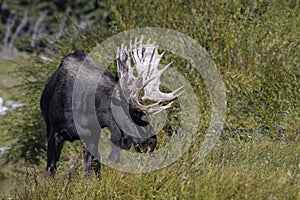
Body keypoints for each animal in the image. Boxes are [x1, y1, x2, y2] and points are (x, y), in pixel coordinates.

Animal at [40, 38, 183, 177]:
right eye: (135, 113)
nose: (152, 141)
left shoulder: (92, 136)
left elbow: (90, 170)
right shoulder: (54, 133)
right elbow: (50, 169)